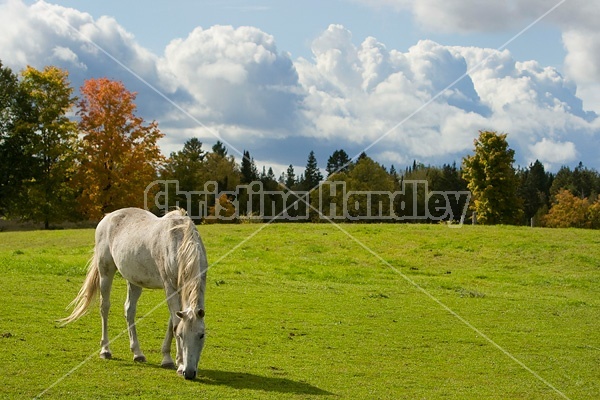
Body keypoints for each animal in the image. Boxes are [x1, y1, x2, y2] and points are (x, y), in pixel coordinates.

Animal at [59, 208, 207, 380]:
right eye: (181, 335)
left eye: (201, 335)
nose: (189, 373)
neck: (179, 241)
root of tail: (108, 217)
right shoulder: (169, 287)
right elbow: (176, 323)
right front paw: (179, 363)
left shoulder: (178, 289)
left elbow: (172, 322)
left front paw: (167, 359)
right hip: (105, 272)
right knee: (105, 307)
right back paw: (105, 350)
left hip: (134, 281)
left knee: (129, 311)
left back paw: (137, 353)